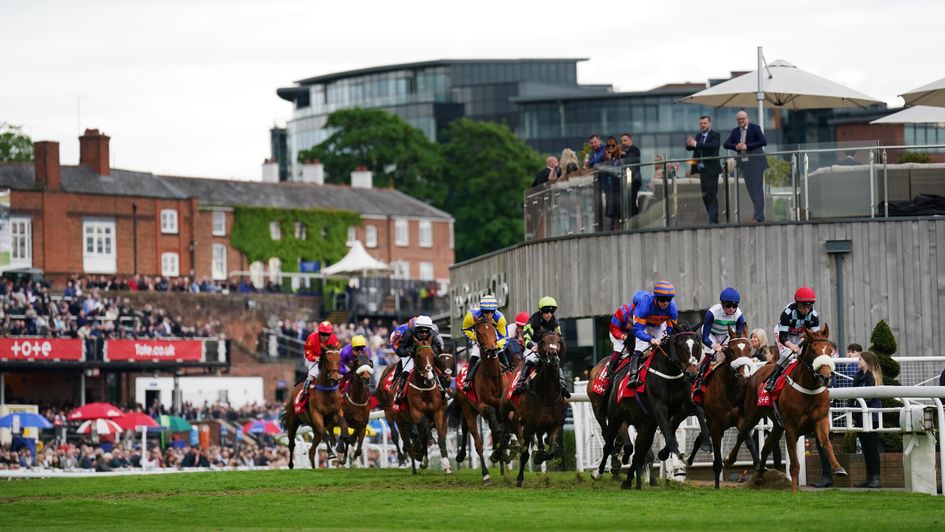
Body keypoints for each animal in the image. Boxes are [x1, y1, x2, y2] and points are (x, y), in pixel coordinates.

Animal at [388, 334, 454, 476]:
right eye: (418, 355)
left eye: (433, 355)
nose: (429, 378)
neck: (425, 388)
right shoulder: (416, 413)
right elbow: (423, 423)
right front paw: (429, 442)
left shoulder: (439, 413)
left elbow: (441, 439)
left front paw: (446, 466)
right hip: (401, 422)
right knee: (407, 442)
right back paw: (414, 465)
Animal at [452, 318, 508, 484]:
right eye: (479, 332)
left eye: (493, 330)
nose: (491, 350)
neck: (494, 378)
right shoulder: (483, 406)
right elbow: (494, 422)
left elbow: (504, 432)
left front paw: (499, 452)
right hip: (468, 408)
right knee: (476, 441)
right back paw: (485, 474)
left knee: (467, 427)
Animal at [498, 330, 564, 488]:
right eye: (544, 341)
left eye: (558, 341)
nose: (552, 355)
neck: (546, 395)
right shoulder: (529, 426)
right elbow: (524, 453)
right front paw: (519, 478)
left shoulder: (554, 425)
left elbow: (552, 450)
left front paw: (540, 456)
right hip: (505, 409)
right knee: (507, 426)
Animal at [724, 326, 848, 492]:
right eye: (813, 351)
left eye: (829, 350)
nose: (825, 377)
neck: (808, 389)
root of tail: (756, 373)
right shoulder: (791, 428)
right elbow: (794, 464)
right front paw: (794, 491)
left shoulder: (820, 420)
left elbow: (826, 444)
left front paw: (838, 468)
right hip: (753, 415)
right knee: (742, 434)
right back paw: (730, 459)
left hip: (777, 425)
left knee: (766, 447)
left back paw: (759, 476)